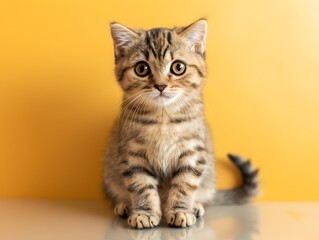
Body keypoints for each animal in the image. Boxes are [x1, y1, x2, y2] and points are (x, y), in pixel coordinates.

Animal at [105, 19, 260, 229]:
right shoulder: (132, 153)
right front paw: (144, 213)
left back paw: (195, 207)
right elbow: (141, 184)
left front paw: (180, 211)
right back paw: (125, 205)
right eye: (141, 69)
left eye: (178, 67)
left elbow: (184, 184)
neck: (163, 117)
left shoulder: (193, 151)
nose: (160, 85)